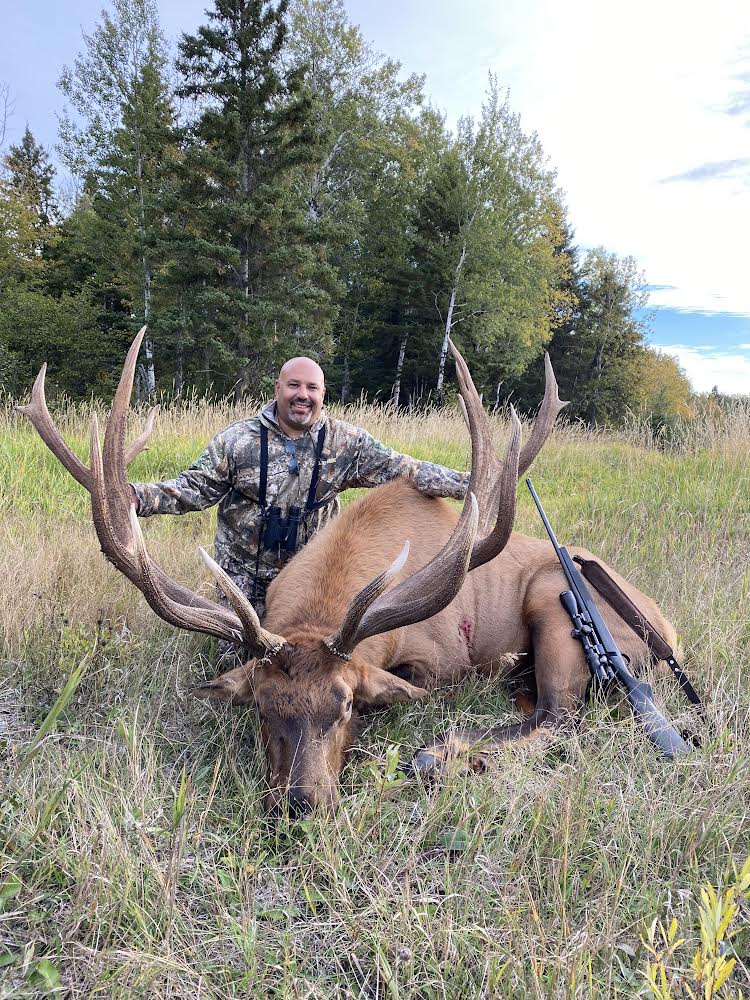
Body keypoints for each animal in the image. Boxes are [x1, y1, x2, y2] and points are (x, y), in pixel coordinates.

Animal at [19, 330, 678, 814]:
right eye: (262, 709)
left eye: (344, 707)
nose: (300, 804)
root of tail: (668, 630)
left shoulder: (442, 658)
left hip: (554, 600)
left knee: (561, 718)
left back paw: (445, 753)